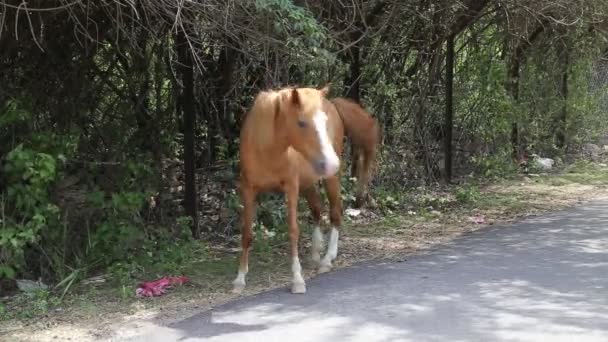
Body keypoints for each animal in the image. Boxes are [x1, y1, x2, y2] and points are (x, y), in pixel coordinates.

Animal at [234, 83, 380, 294]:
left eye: (324, 122)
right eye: (301, 123)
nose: (332, 163)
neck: (268, 148)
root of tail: (332, 102)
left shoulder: (291, 188)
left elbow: (293, 230)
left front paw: (297, 279)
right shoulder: (248, 189)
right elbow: (246, 233)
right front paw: (239, 279)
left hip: (328, 180)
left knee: (335, 213)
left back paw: (327, 259)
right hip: (309, 182)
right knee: (317, 209)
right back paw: (315, 253)